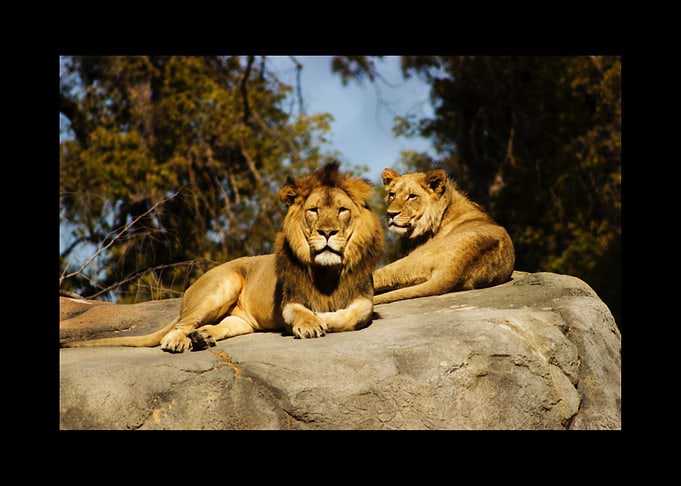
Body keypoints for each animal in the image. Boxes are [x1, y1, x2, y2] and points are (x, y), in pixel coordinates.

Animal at [61, 162, 384, 353]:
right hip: (222, 286)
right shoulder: (289, 300)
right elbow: (301, 311)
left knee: (223, 325)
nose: (327, 232)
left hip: (241, 320)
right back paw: (179, 341)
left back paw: (203, 337)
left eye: (342, 210)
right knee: (178, 327)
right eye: (314, 211)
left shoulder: (363, 298)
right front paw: (312, 322)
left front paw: (325, 318)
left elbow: (354, 314)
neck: (328, 271)